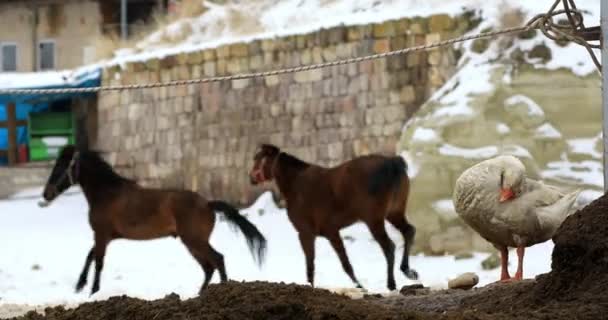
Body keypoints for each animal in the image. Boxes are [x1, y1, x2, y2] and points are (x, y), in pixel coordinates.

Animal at [41, 145, 268, 296]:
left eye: (62, 165)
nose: (46, 194)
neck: (107, 193)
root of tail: (207, 204)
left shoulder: (102, 234)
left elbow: (98, 261)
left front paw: (93, 291)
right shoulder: (108, 236)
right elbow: (91, 256)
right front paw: (80, 285)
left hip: (194, 240)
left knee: (217, 260)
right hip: (192, 243)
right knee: (208, 267)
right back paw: (200, 294)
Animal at [249, 144, 416, 292]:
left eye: (257, 157)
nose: (251, 178)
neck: (296, 184)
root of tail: (392, 164)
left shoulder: (306, 233)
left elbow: (311, 266)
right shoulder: (331, 232)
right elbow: (345, 263)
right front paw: (359, 287)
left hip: (374, 220)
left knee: (389, 247)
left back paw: (392, 284)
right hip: (393, 213)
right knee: (409, 231)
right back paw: (408, 271)